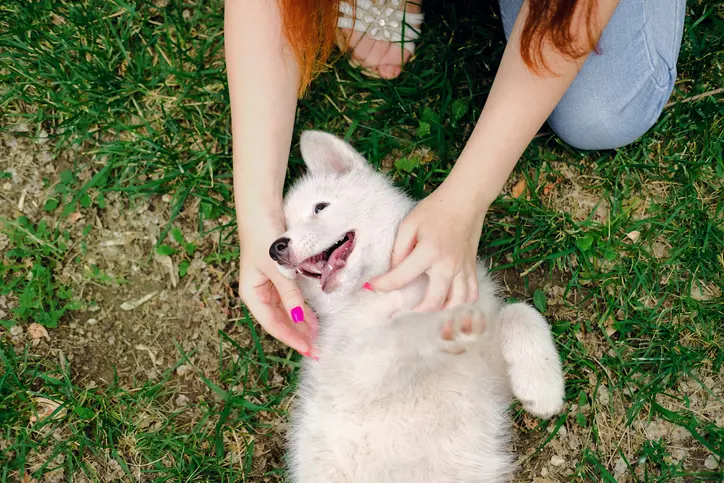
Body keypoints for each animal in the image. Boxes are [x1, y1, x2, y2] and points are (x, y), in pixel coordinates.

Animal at [270, 130, 564, 482]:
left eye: (319, 207)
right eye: (283, 229)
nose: (276, 248)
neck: (383, 289)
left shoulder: (487, 368)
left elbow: (521, 312)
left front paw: (543, 385)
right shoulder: (351, 372)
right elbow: (403, 328)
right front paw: (440, 322)